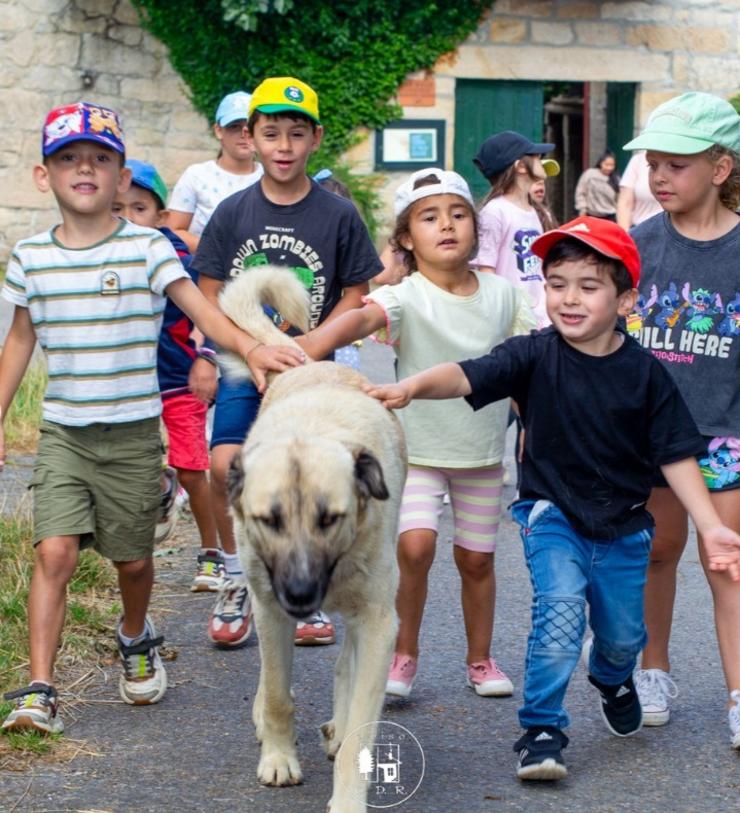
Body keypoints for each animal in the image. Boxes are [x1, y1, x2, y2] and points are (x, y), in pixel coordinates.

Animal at [223, 268, 408, 812]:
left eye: (331, 518)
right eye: (269, 519)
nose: (302, 594)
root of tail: (309, 366)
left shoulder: (379, 620)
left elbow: (362, 727)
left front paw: (347, 798)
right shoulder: (270, 608)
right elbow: (278, 692)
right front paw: (279, 757)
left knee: (347, 665)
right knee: (272, 677)